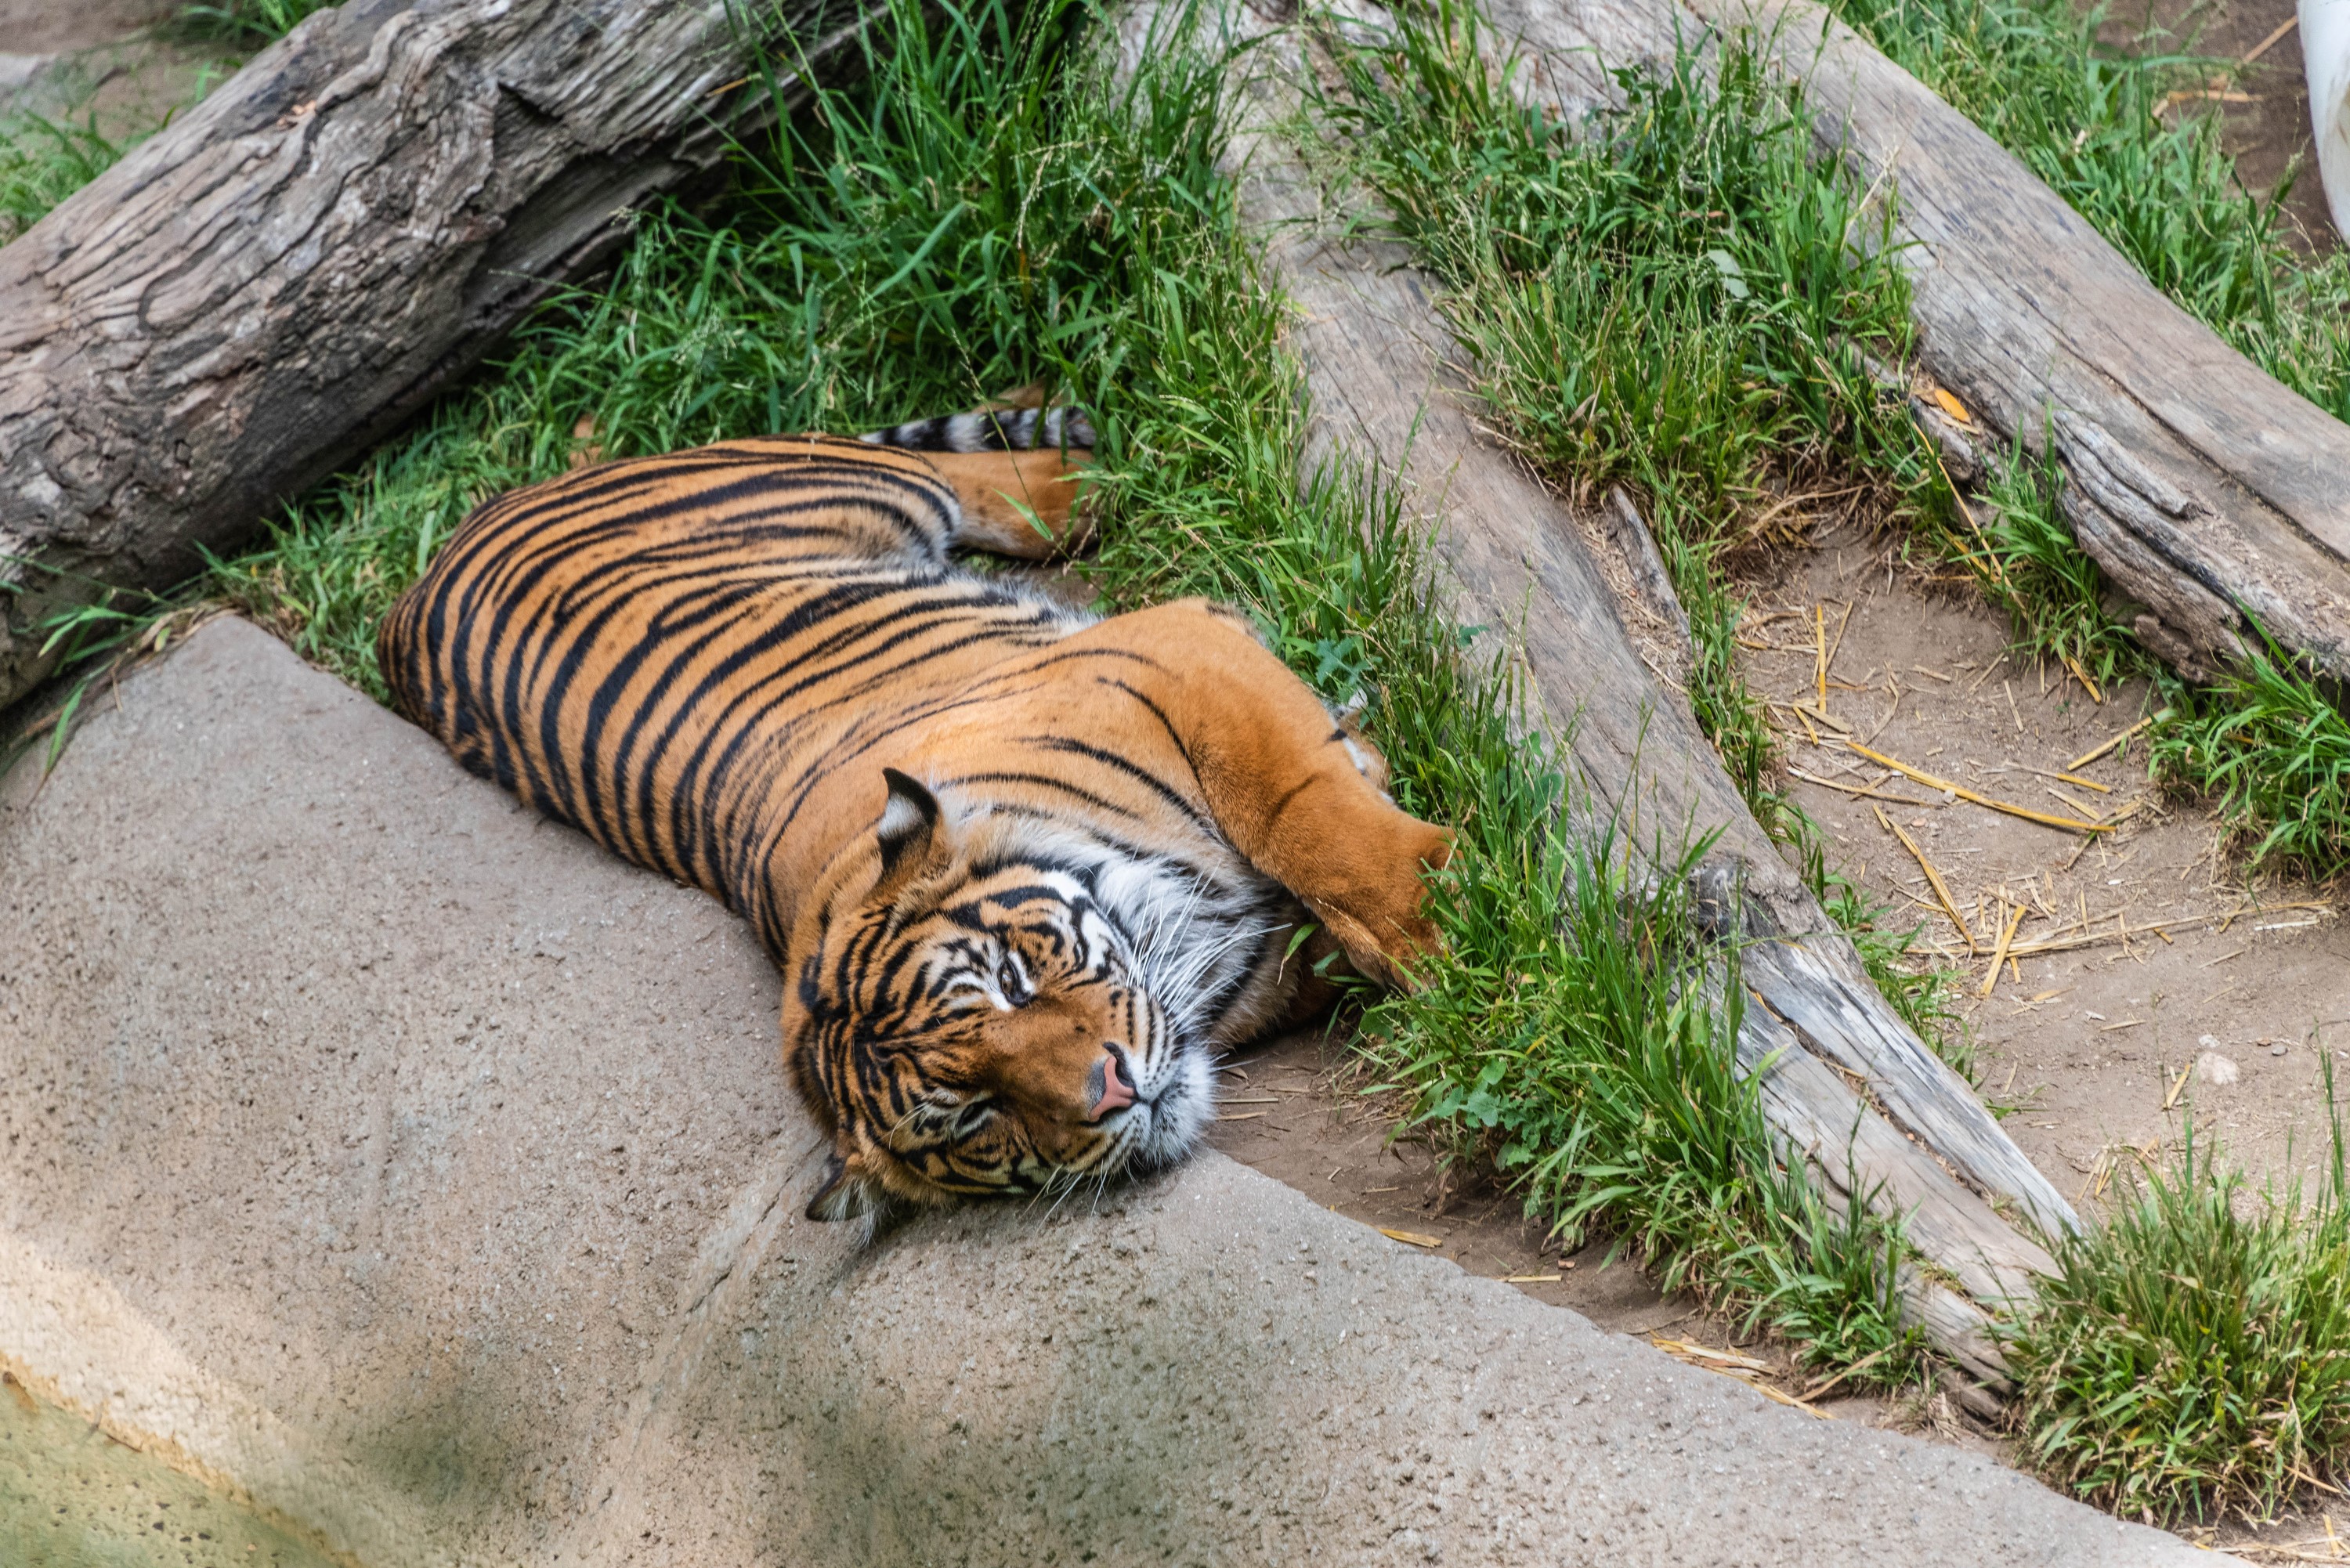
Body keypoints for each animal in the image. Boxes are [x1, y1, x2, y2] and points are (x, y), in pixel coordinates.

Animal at [378, 407, 1452, 1223]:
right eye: (976, 1114)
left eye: (1012, 981)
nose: (1112, 1090)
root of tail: (405, 604)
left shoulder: (1172, 657)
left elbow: (1307, 814)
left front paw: (1446, 921)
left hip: (840, 478)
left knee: (955, 472)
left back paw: (1095, 473)